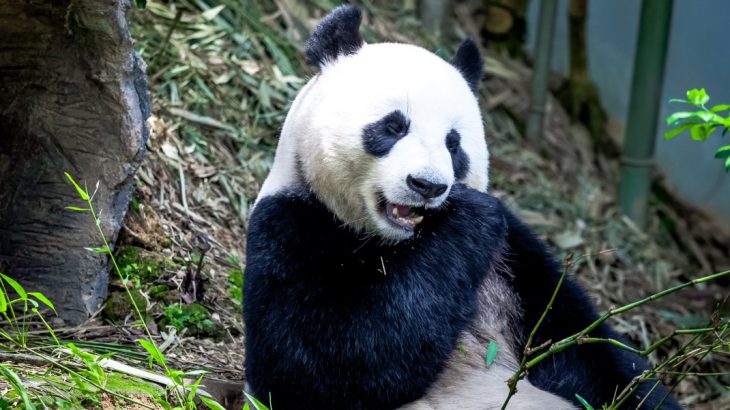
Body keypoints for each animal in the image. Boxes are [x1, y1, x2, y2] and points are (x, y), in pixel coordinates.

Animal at [243, 4, 676, 410]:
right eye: (393, 126)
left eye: (454, 144)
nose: (427, 185)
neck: (398, 243)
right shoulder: (293, 224)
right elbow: (317, 366)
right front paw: (468, 215)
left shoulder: (513, 258)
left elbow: (584, 344)